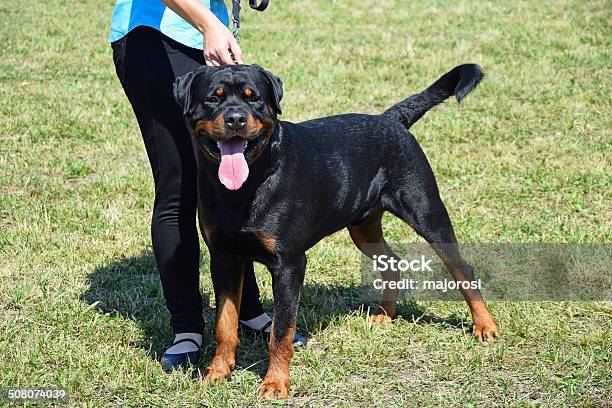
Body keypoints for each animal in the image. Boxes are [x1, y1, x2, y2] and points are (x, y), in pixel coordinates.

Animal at [175, 63, 500, 398]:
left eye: (253, 98)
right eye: (213, 98)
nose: (236, 118)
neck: (246, 185)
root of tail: (390, 119)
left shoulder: (289, 263)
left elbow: (281, 331)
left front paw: (275, 383)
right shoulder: (224, 258)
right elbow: (225, 324)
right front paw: (217, 372)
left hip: (427, 212)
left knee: (461, 268)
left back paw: (485, 326)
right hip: (362, 227)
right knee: (392, 262)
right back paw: (384, 314)